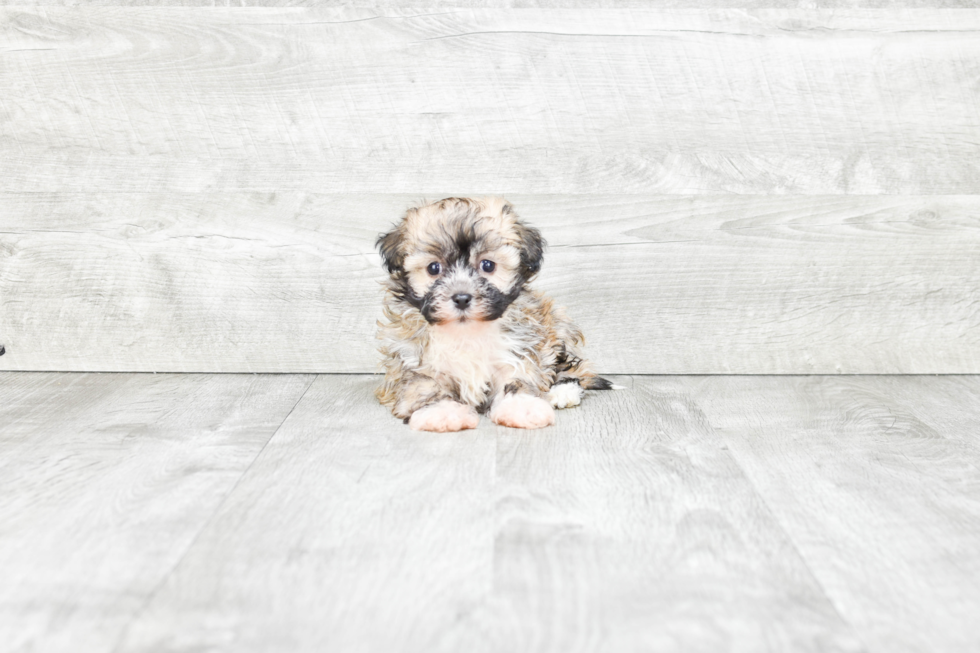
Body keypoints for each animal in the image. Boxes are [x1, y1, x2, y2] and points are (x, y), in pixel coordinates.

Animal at [378, 196, 612, 430]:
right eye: (434, 268)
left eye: (488, 265)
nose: (461, 298)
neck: (466, 331)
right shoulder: (415, 361)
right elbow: (425, 386)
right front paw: (441, 412)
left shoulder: (518, 348)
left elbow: (517, 378)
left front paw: (521, 406)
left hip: (557, 326)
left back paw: (562, 392)